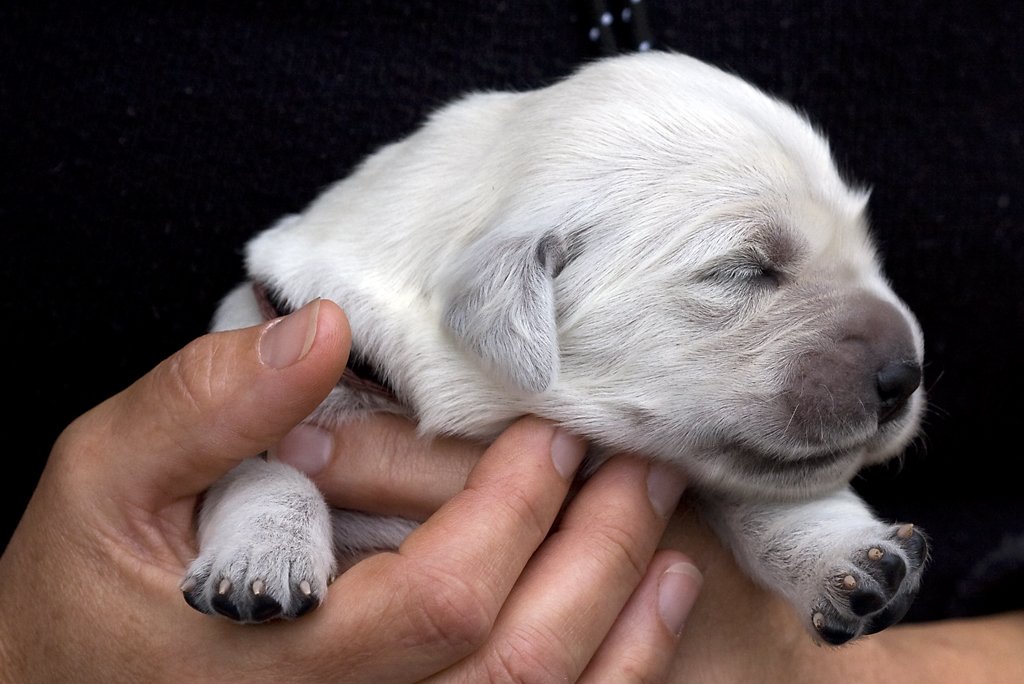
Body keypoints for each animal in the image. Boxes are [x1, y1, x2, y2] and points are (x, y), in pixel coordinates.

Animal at [182, 50, 929, 643]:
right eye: (745, 271)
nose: (907, 376)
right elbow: (259, 467)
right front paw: (263, 557)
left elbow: (756, 490)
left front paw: (850, 558)